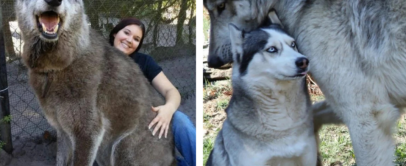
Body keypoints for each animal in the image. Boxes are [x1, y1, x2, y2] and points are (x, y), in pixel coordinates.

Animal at [13, 0, 176, 165]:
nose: (54, 1)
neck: (55, 68)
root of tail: (172, 154)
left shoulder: (87, 132)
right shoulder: (63, 131)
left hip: (122, 150)